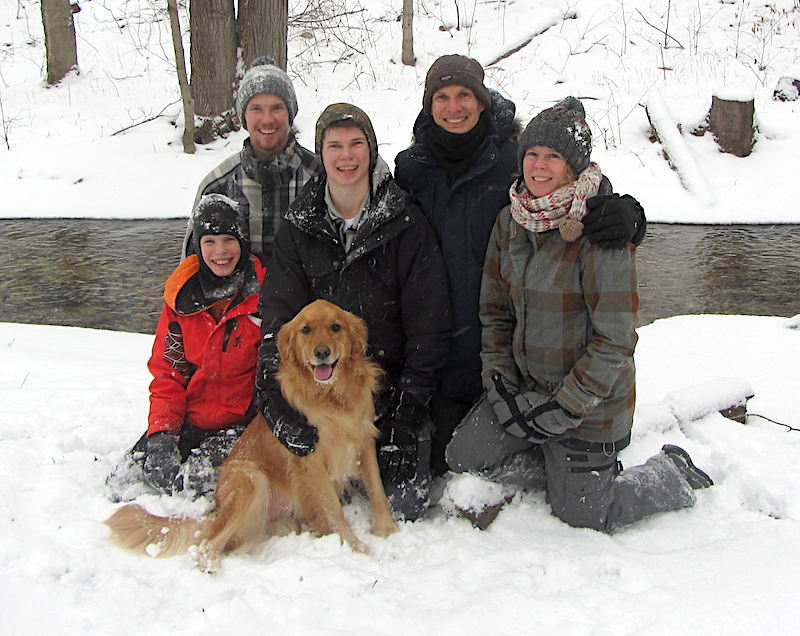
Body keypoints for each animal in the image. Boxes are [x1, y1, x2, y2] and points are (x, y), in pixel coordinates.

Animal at [103, 300, 396, 572]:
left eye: (336, 327)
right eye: (306, 329)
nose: (321, 352)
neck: (332, 397)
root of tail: (216, 510)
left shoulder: (363, 441)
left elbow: (377, 490)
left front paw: (387, 531)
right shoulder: (309, 459)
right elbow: (332, 508)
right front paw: (354, 546)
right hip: (251, 479)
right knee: (208, 543)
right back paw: (210, 565)